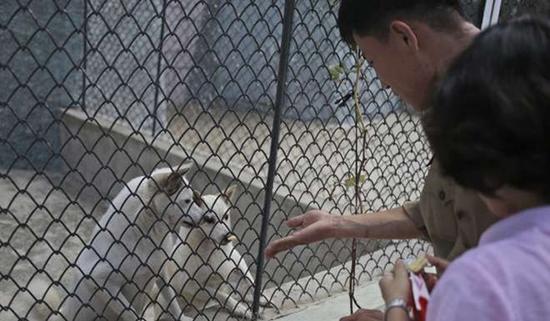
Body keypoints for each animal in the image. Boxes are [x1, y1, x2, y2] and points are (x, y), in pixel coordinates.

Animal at [35, 162, 207, 320]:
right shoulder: (98, 279)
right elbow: (130, 312)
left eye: (193, 199)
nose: (207, 217)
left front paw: (182, 317)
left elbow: (172, 301)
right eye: (187, 201)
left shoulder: (160, 272)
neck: (143, 231)